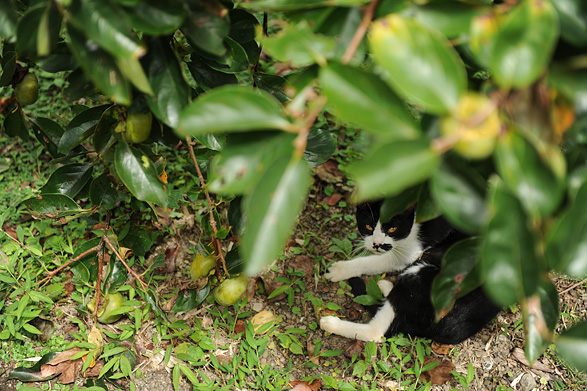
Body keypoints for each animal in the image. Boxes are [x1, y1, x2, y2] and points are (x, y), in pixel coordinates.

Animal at [320, 201, 498, 344]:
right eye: (369, 226)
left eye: (393, 228)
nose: (376, 244)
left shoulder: (409, 252)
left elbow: (375, 261)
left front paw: (340, 269)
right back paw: (386, 286)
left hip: (423, 274)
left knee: (377, 332)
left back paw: (331, 323)